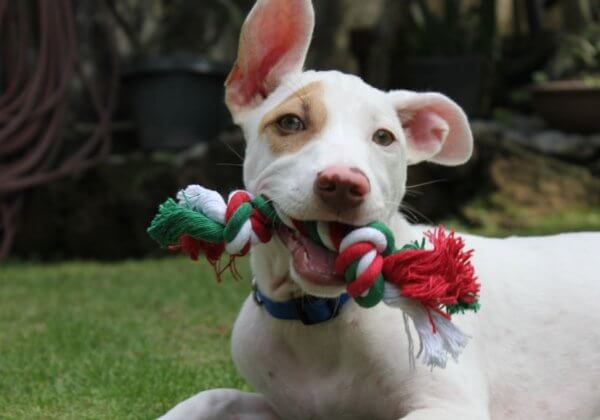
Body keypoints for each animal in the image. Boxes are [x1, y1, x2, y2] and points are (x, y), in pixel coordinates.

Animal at [159, 1, 600, 418]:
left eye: (384, 137)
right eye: (290, 123)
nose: (343, 184)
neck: (316, 313)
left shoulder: (450, 406)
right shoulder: (284, 408)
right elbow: (212, 397)